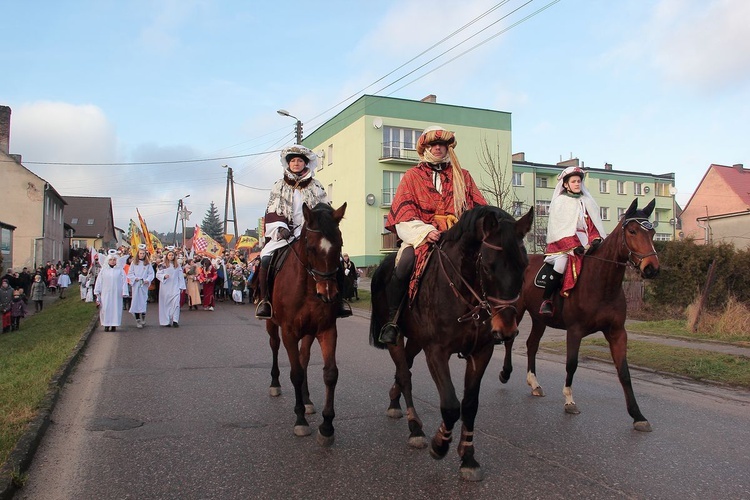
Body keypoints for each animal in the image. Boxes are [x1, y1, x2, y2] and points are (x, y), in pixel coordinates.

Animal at [264, 203, 346, 446]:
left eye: (339, 244)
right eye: (310, 247)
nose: (328, 294)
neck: (309, 289)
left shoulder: (327, 330)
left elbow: (330, 373)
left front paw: (327, 427)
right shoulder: (289, 332)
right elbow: (296, 374)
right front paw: (300, 420)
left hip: (309, 332)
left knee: (304, 358)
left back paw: (308, 400)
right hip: (272, 326)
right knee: (275, 346)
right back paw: (275, 384)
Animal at [370, 205, 536, 478]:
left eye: (524, 266)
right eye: (488, 266)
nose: (507, 329)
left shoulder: (481, 352)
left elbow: (469, 404)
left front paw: (468, 457)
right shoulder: (436, 351)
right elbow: (450, 404)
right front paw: (440, 444)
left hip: (416, 340)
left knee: (404, 369)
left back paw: (395, 401)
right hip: (397, 338)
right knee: (404, 374)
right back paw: (415, 428)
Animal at [502, 197, 660, 432]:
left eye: (652, 232)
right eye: (632, 231)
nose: (652, 268)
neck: (602, 283)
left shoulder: (617, 332)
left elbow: (624, 372)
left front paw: (637, 415)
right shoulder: (574, 331)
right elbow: (572, 364)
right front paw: (569, 401)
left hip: (540, 318)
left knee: (531, 344)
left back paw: (535, 383)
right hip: (517, 310)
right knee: (510, 340)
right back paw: (505, 373)